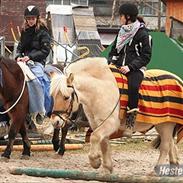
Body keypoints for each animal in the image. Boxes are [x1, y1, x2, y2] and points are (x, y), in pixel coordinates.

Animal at [49, 58, 182, 174]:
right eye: (53, 96)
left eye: (66, 97)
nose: (55, 121)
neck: (100, 91)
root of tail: (178, 80)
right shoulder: (97, 124)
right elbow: (104, 144)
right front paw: (107, 167)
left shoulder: (110, 124)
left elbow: (95, 137)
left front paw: (96, 161)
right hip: (161, 125)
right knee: (171, 144)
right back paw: (173, 166)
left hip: (166, 125)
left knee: (165, 146)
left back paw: (156, 171)